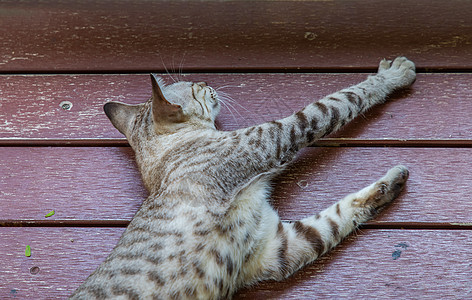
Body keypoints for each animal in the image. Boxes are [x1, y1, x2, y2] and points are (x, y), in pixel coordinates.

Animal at [70, 56, 416, 300]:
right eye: (194, 86)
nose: (205, 79)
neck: (160, 160)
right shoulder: (275, 138)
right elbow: (341, 101)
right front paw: (393, 76)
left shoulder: (275, 247)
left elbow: (336, 218)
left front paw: (389, 185)